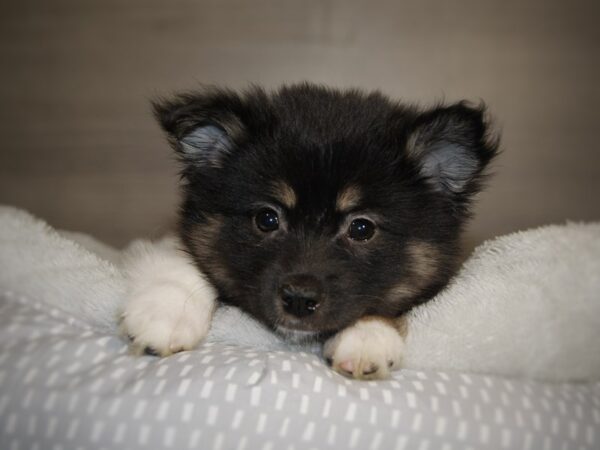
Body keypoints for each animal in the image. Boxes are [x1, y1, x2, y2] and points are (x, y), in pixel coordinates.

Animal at [120, 83, 496, 380]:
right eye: (267, 219)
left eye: (361, 227)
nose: (299, 299)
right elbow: (181, 262)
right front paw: (166, 314)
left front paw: (366, 338)